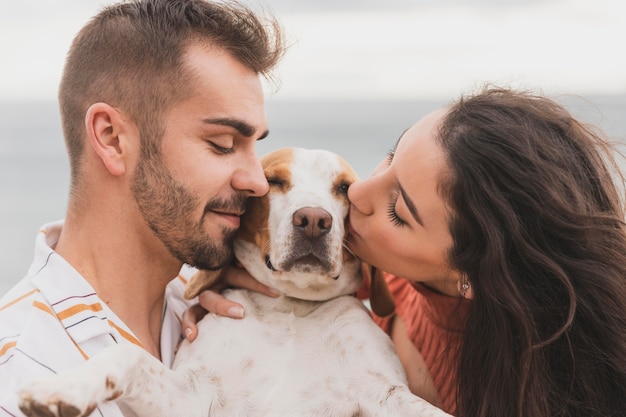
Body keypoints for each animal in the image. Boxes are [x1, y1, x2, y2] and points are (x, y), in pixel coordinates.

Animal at [18, 147, 448, 416]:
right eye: (274, 181)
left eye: (344, 188)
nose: (313, 220)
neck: (291, 310)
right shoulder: (190, 397)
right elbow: (129, 357)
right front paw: (63, 388)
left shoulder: (386, 394)